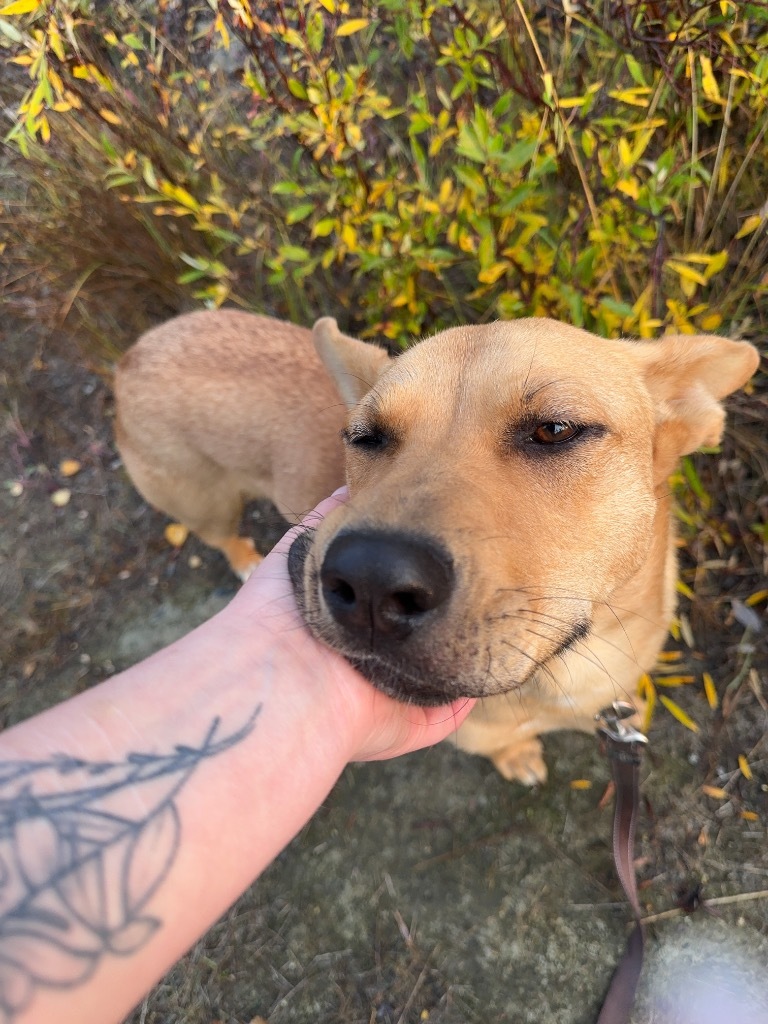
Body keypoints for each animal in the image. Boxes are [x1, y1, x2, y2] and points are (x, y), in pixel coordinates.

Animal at [114, 311, 757, 782]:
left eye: (555, 429)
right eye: (365, 437)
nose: (369, 580)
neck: (565, 682)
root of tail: (133, 353)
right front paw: (517, 758)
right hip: (204, 503)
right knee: (223, 536)